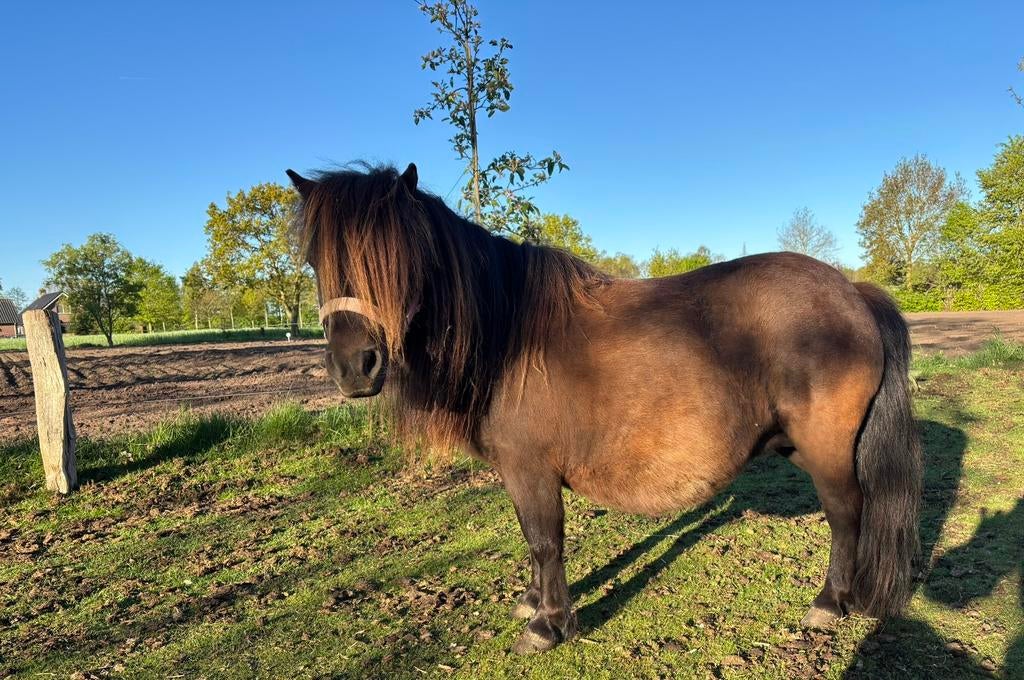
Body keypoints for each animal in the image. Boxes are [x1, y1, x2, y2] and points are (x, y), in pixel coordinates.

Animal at [286, 162, 923, 654]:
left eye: (397, 260)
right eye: (318, 261)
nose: (354, 367)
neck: (509, 336)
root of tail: (851, 291)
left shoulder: (532, 470)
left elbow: (545, 541)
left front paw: (549, 625)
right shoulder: (519, 473)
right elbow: (529, 536)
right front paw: (532, 603)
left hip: (828, 447)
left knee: (846, 513)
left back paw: (830, 603)